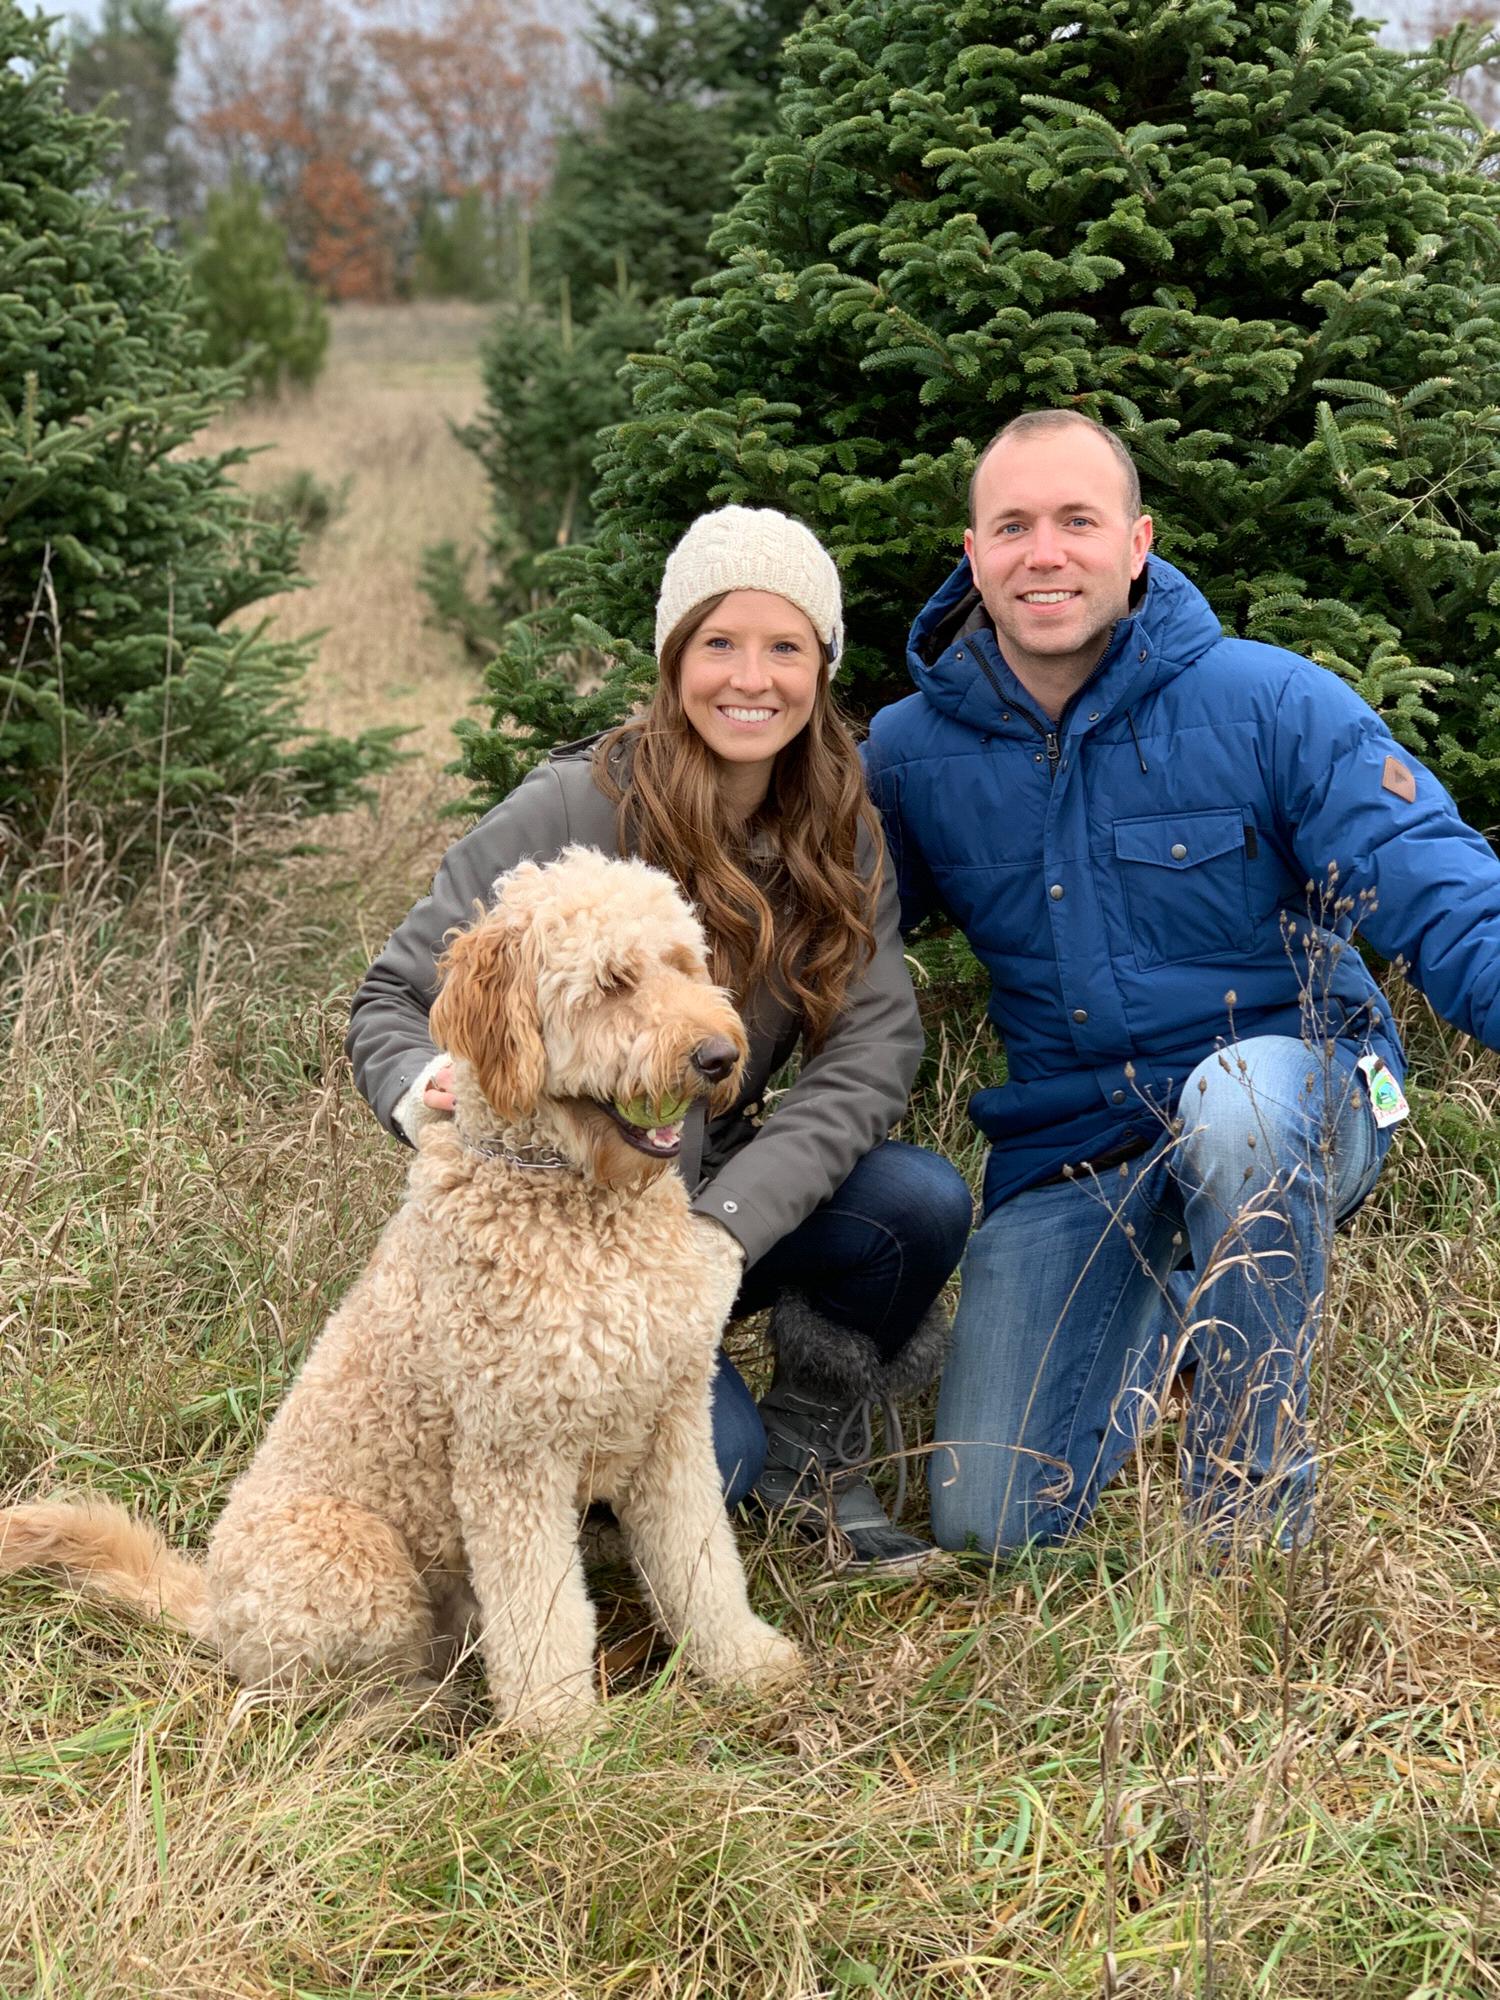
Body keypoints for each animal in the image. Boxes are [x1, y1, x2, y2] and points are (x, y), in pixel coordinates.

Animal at [0, 844, 812, 1736]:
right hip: (354, 1563)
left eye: (683, 964)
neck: (578, 1205)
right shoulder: (512, 1454)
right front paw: (560, 1734)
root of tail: (211, 1602)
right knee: (306, 1696)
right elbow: (542, 1611)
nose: (719, 1056)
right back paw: (416, 1710)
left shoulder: (671, 1423)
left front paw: (745, 1663)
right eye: (610, 982)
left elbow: (701, 1562)